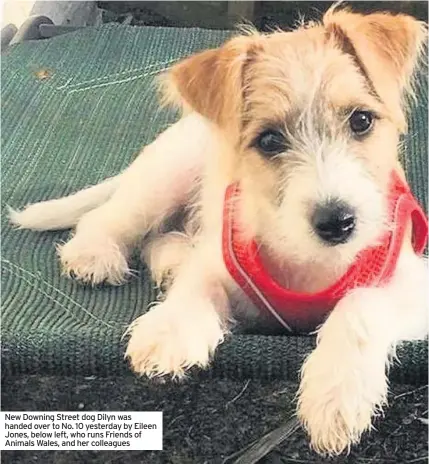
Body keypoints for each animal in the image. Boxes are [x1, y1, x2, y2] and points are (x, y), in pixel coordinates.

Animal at [8, 4, 426, 456]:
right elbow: (199, 282)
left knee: (162, 236)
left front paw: (337, 391)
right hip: (164, 177)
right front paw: (171, 328)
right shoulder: (224, 258)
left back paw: (172, 259)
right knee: (110, 219)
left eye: (361, 120)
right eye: (269, 140)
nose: (338, 223)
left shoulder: (411, 282)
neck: (311, 263)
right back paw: (97, 254)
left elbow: (360, 304)